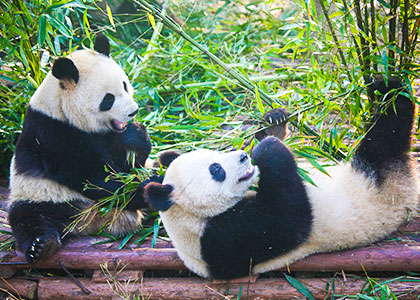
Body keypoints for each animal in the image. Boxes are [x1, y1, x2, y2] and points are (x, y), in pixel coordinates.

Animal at [8, 35, 153, 264]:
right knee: (30, 219)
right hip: (39, 195)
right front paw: (138, 191)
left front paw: (136, 134)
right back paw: (41, 247)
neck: (62, 109)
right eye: (108, 98)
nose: (133, 112)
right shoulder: (53, 135)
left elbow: (128, 162)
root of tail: (91, 223)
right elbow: (93, 178)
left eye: (124, 85)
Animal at [144, 77, 416, 278]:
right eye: (216, 169)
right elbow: (289, 218)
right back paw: (393, 89)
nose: (243, 157)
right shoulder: (226, 238)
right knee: (386, 137)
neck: (189, 215)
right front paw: (267, 148)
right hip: (378, 183)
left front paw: (272, 123)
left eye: (215, 154)